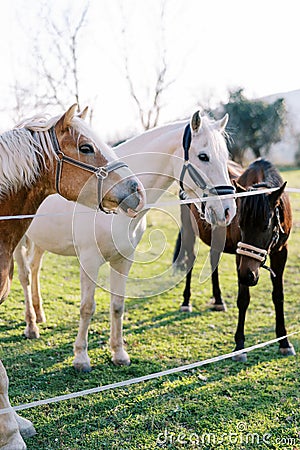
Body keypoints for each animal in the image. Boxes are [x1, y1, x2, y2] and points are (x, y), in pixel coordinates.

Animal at [14, 110, 237, 372]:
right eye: (203, 156)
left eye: (225, 158)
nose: (227, 210)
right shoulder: (89, 261)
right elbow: (87, 307)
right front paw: (81, 358)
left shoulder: (123, 260)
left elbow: (118, 305)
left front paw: (119, 353)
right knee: (25, 277)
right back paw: (31, 326)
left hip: (40, 242)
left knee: (35, 269)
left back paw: (40, 315)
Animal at [173, 158, 296, 362]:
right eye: (241, 224)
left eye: (265, 226)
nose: (249, 276)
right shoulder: (241, 257)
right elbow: (243, 299)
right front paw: (240, 346)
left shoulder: (281, 253)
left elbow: (278, 296)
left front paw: (284, 342)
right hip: (190, 228)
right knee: (190, 259)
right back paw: (186, 302)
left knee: (213, 261)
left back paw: (218, 300)